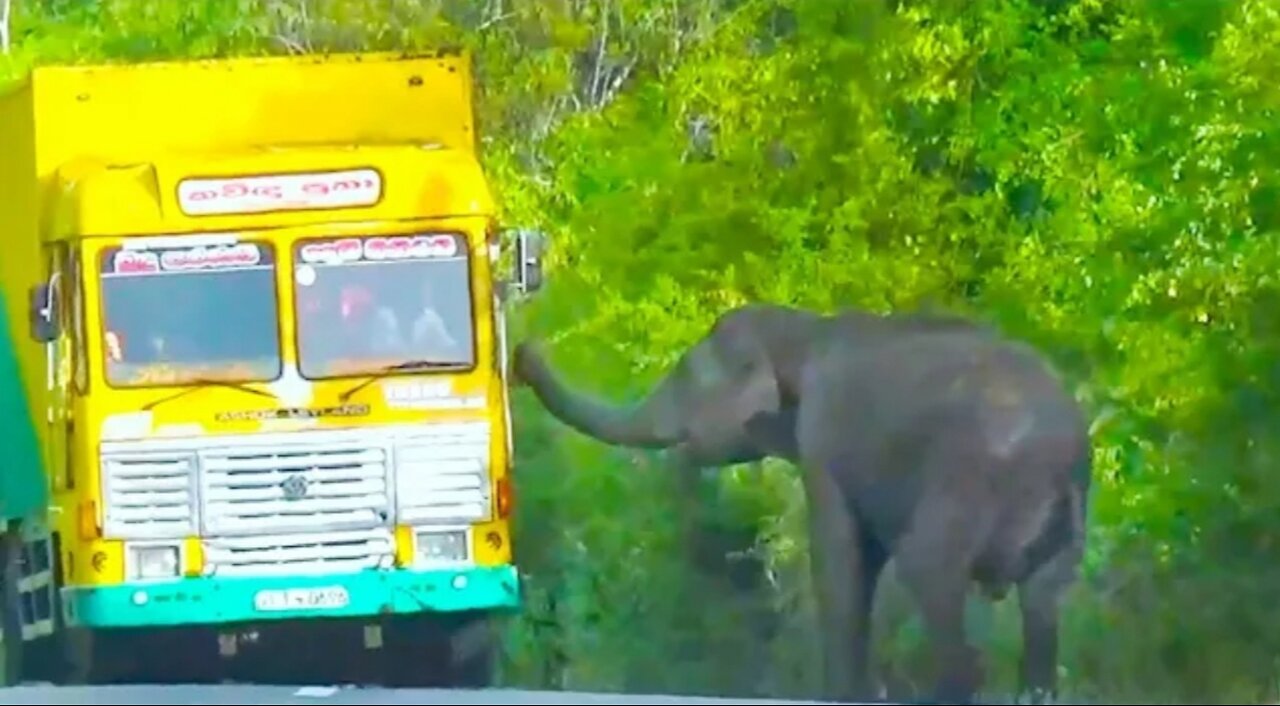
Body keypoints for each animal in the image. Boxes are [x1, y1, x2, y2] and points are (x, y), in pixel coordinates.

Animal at [512, 303, 1091, 704]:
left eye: (685, 382)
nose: (522, 352)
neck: (803, 328)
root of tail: (1063, 445)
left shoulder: (824, 438)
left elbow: (841, 561)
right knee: (1043, 608)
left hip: (969, 481)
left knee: (931, 575)